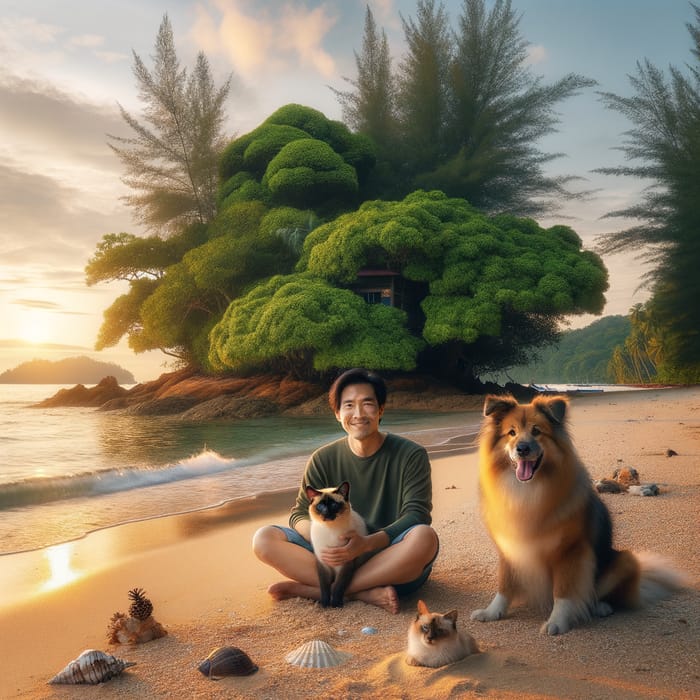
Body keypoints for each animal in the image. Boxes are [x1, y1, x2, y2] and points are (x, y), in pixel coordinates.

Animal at [470, 394, 684, 636]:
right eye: (511, 432)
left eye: (537, 431)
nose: (522, 449)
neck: (528, 490)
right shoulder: (509, 549)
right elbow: (504, 586)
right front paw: (492, 612)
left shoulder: (570, 552)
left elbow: (563, 592)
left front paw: (557, 621)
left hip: (626, 560)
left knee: (600, 594)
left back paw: (600, 607)